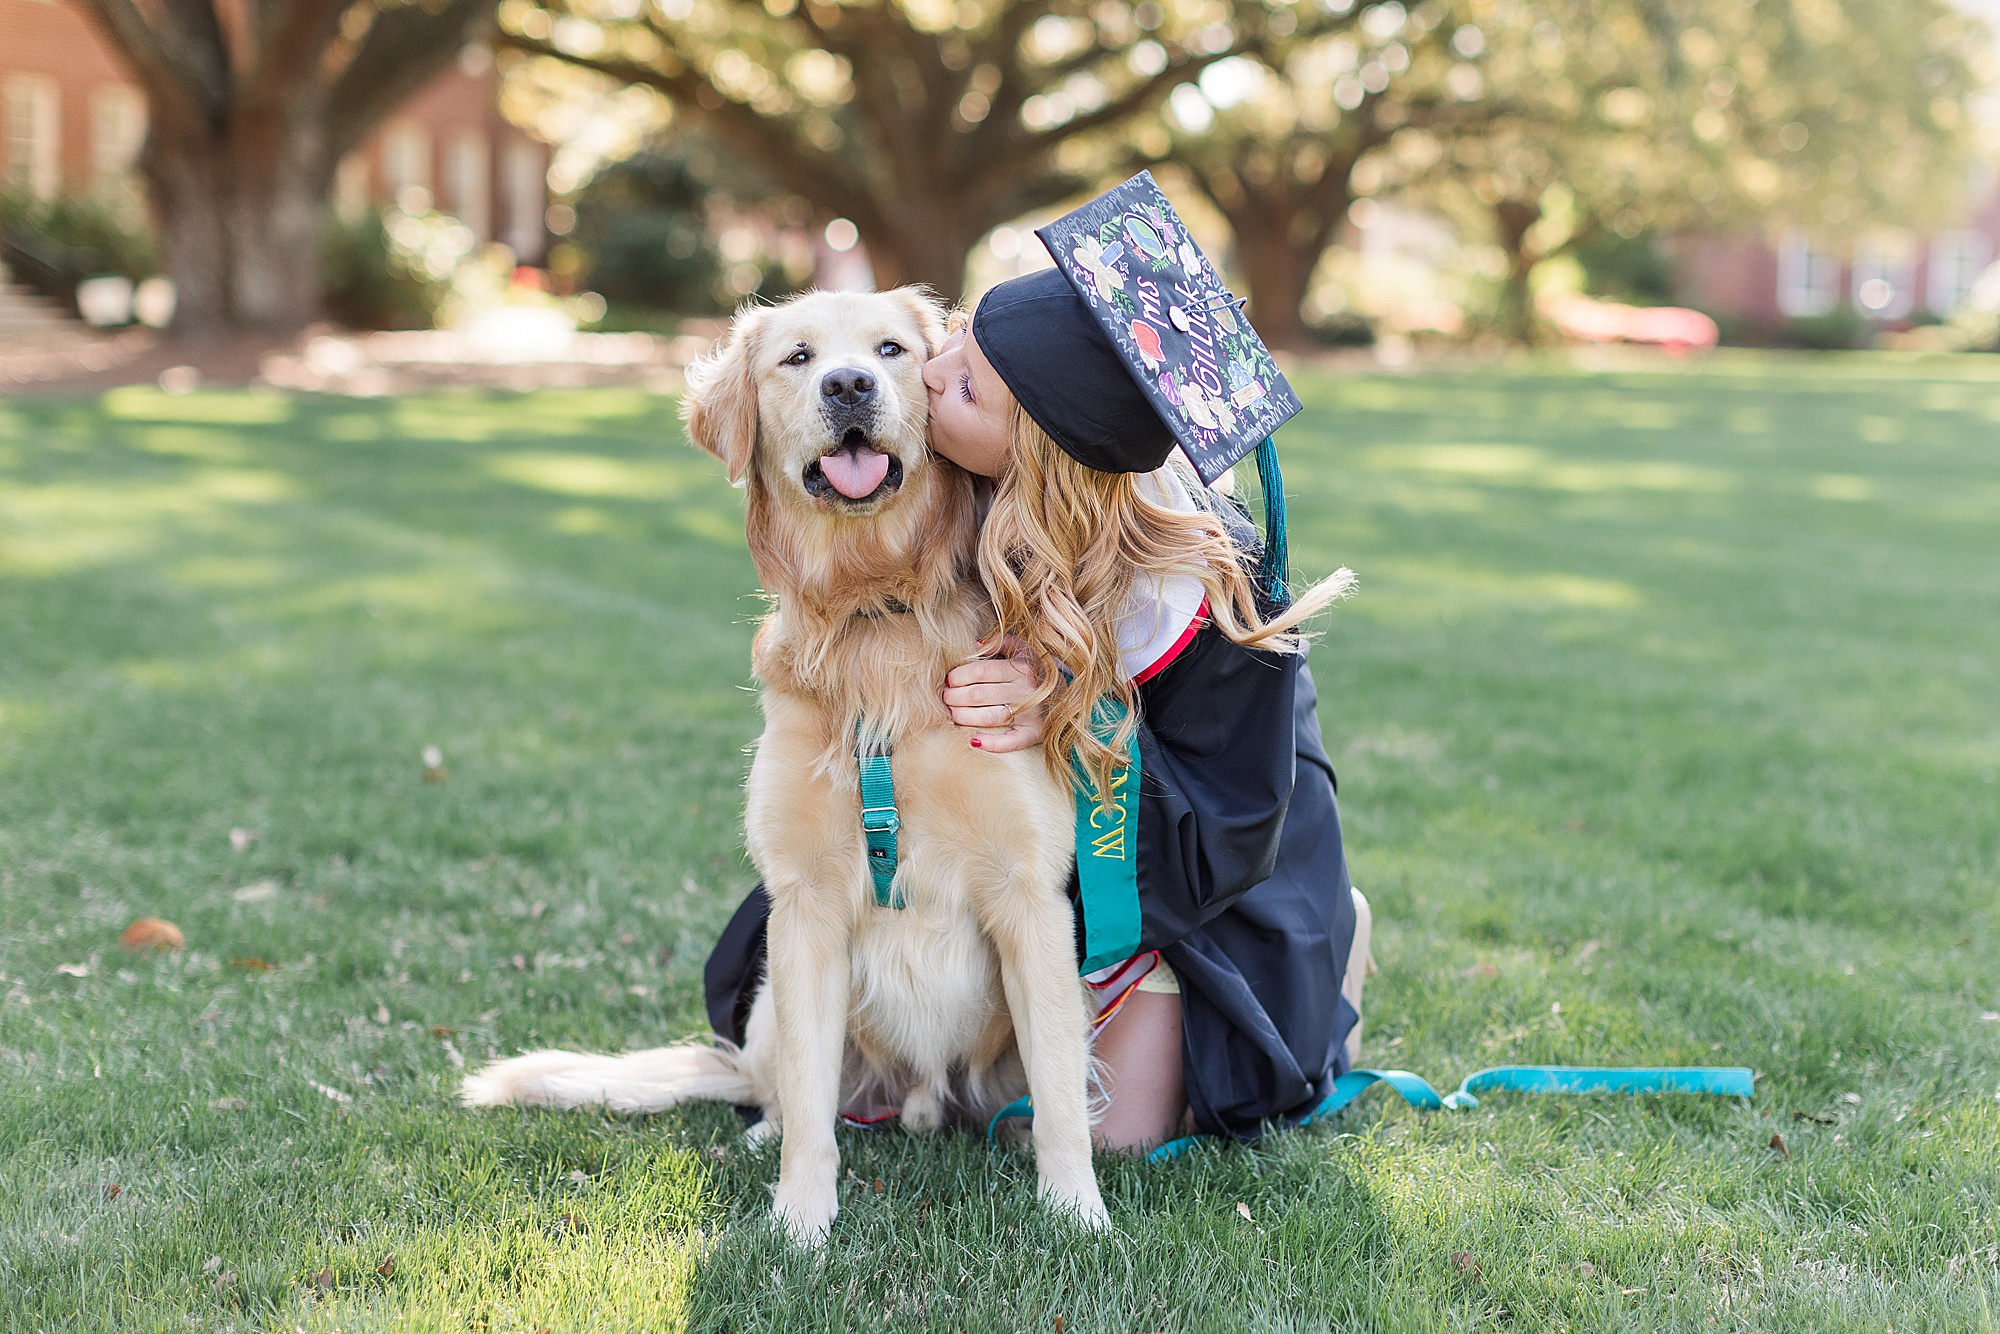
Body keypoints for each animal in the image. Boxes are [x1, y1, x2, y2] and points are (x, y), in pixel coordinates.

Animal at [458, 288, 1104, 1248]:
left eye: (892, 349)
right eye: (798, 359)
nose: (849, 385)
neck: (874, 611)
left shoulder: (1030, 896)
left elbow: (1060, 1088)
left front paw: (1078, 1214)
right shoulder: (804, 906)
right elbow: (807, 1099)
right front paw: (801, 1223)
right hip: (769, 1000)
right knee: (781, 1090)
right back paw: (767, 1132)